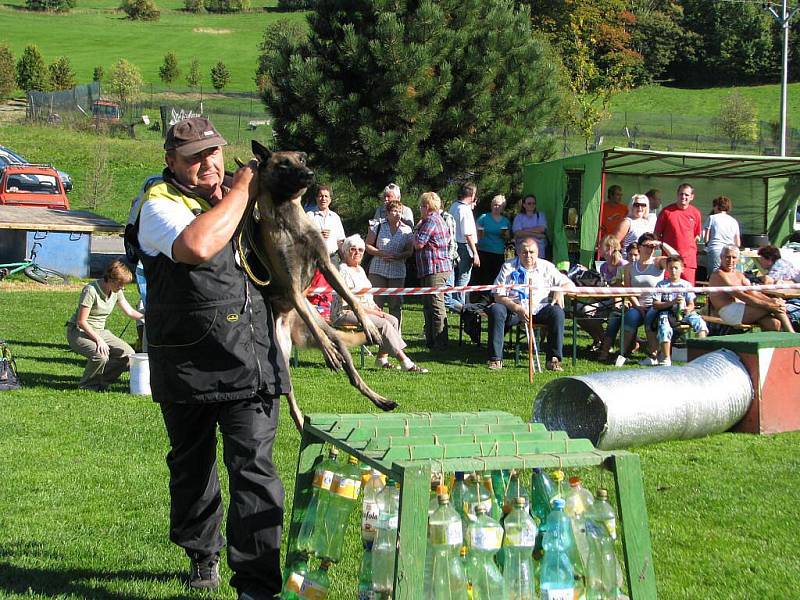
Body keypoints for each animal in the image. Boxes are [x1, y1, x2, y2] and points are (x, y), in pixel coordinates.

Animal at [247, 141, 396, 432]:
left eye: (302, 158)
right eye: (284, 164)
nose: (310, 174)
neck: (289, 219)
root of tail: (287, 323)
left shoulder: (326, 265)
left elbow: (351, 297)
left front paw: (370, 325)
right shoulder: (293, 287)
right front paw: (326, 350)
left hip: (334, 335)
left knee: (352, 373)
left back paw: (380, 399)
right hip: (281, 360)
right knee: (291, 397)